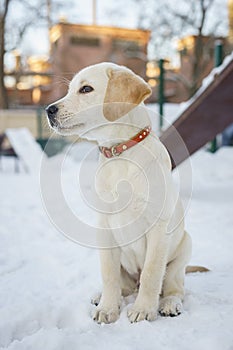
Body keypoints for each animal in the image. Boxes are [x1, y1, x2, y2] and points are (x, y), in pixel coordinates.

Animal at [46, 62, 193, 322]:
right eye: (71, 89)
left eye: (86, 89)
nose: (48, 110)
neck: (119, 153)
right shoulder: (104, 227)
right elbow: (109, 274)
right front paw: (108, 309)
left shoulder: (157, 229)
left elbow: (152, 273)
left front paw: (144, 309)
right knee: (124, 286)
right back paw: (102, 297)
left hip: (185, 248)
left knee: (174, 287)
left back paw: (169, 304)